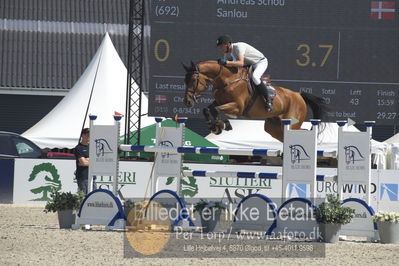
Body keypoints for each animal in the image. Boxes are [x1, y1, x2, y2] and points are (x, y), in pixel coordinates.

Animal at [184, 61, 328, 142]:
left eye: (193, 80)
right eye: (185, 80)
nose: (187, 102)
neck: (228, 80)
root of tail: (299, 95)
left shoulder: (237, 107)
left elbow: (215, 110)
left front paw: (221, 125)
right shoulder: (219, 102)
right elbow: (207, 109)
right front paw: (215, 126)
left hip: (290, 123)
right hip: (273, 127)